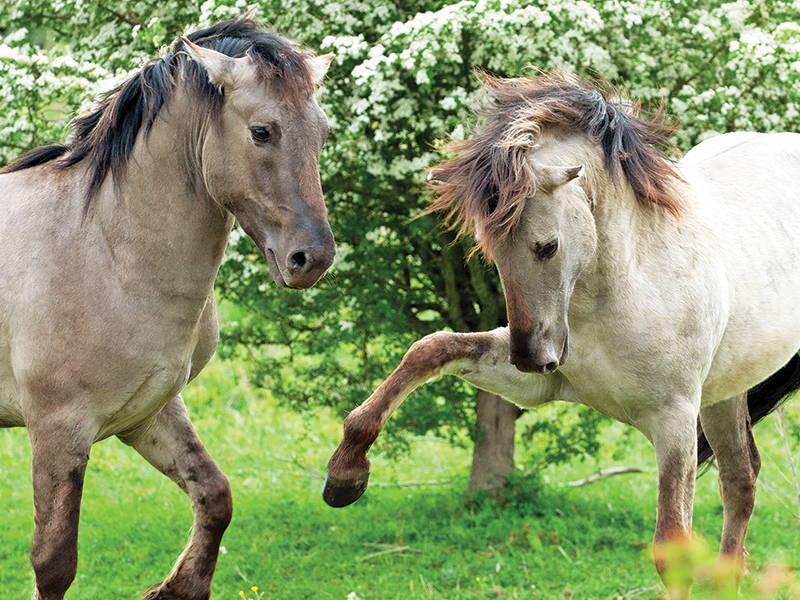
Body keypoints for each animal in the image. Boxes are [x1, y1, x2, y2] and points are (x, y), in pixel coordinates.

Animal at [0, 17, 335, 600]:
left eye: (324, 133)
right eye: (261, 132)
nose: (311, 258)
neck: (106, 248)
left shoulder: (149, 412)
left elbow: (215, 496)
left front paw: (176, 587)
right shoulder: (58, 429)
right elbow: (54, 561)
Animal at [323, 72, 800, 597]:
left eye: (547, 246)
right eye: (488, 250)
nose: (533, 357)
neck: (625, 286)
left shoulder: (674, 419)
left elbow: (672, 548)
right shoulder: (540, 386)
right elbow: (430, 349)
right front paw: (345, 472)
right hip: (723, 394)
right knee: (740, 480)